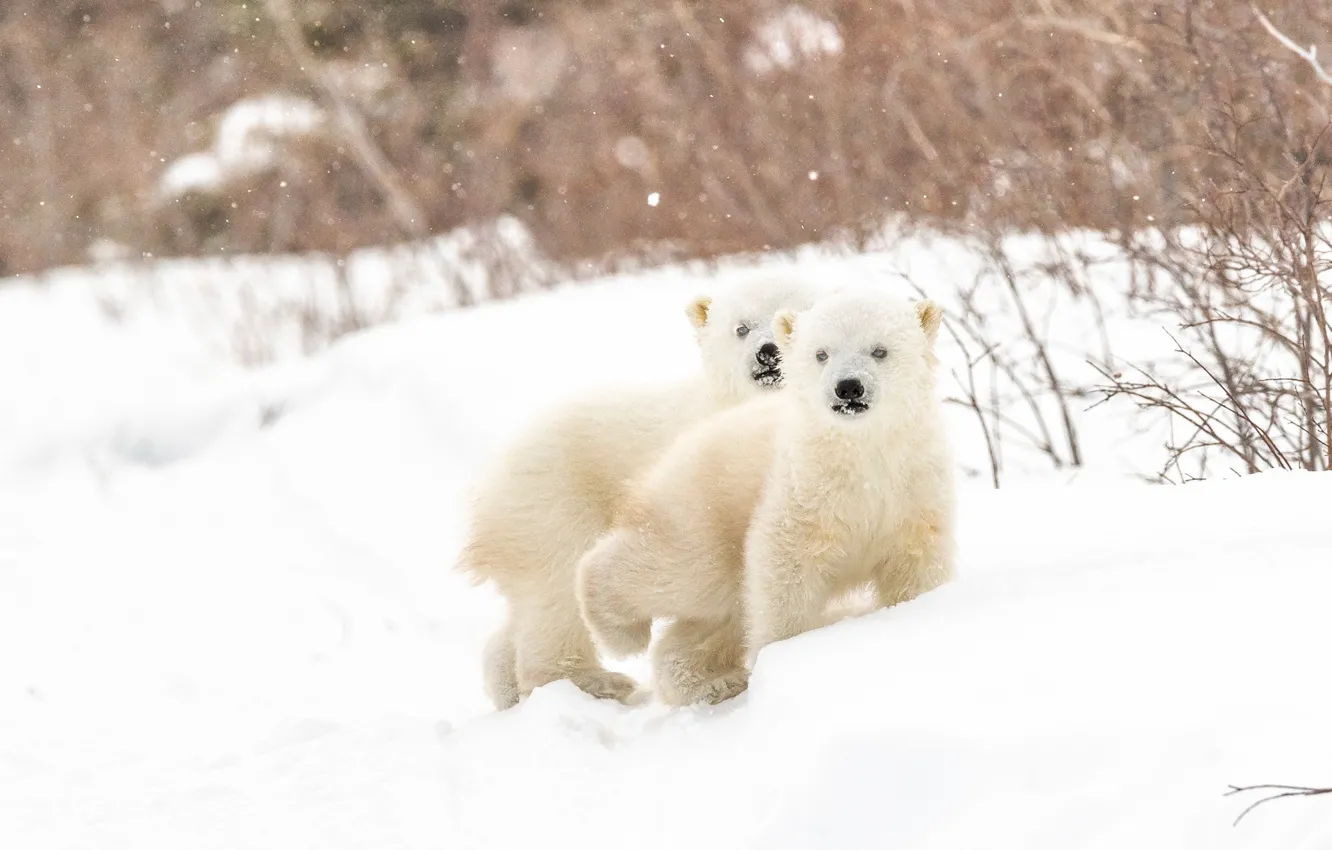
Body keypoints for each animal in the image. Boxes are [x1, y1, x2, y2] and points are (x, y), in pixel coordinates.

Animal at [458, 274, 820, 714]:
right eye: (742, 327)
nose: (768, 352)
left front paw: (711, 678)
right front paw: (715, 679)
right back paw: (591, 682)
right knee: (558, 585)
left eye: (792, 317)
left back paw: (508, 684)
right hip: (554, 500)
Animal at [578, 290, 953, 708]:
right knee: (679, 572)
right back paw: (622, 635)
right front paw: (785, 656)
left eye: (879, 350)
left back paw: (713, 682)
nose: (848, 387)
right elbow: (784, 569)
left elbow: (916, 564)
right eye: (821, 353)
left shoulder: (912, 491)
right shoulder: (800, 488)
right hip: (704, 510)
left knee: (714, 615)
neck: (861, 455)